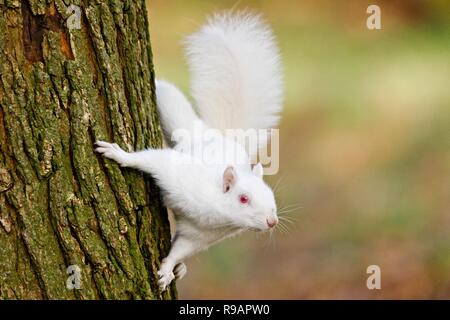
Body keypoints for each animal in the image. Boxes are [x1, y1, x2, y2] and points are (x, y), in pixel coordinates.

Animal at [96, 11, 282, 292]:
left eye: (270, 195)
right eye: (243, 199)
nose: (272, 222)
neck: (215, 213)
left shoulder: (199, 235)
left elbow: (180, 249)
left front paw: (167, 270)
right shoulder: (181, 176)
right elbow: (153, 159)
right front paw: (120, 155)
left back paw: (181, 269)